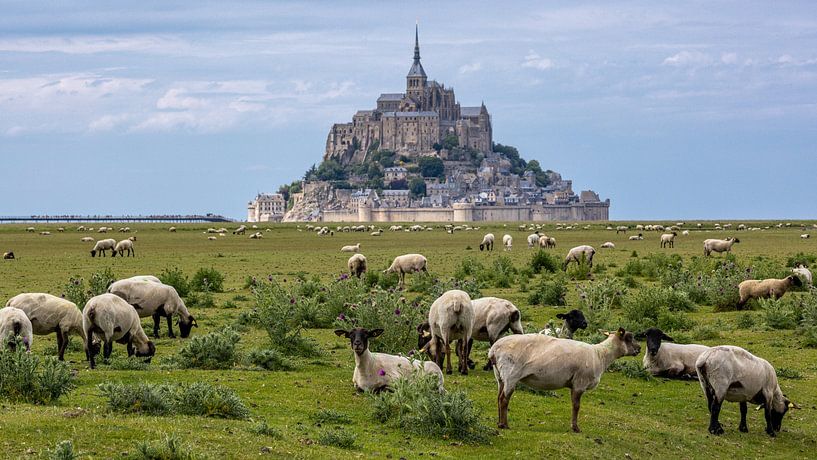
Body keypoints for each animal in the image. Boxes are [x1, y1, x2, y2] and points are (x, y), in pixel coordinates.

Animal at [489, 328, 641, 432]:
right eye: (629, 338)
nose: (639, 348)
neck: (601, 355)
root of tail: (493, 350)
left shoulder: (574, 384)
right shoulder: (580, 382)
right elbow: (576, 406)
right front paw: (575, 428)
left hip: (500, 376)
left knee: (498, 397)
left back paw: (499, 422)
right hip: (511, 375)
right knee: (504, 399)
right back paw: (504, 425)